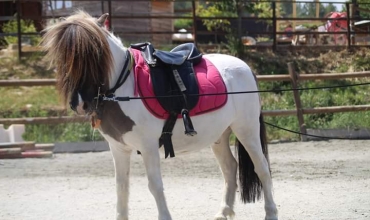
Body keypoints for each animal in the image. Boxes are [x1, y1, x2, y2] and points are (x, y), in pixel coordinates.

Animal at [41, 10, 278, 220]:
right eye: (62, 57)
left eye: (97, 53)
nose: (81, 103)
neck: (124, 88)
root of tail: (245, 67)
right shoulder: (118, 148)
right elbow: (121, 187)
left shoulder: (148, 146)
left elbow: (154, 185)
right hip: (219, 136)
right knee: (230, 169)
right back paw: (223, 213)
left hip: (247, 131)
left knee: (262, 169)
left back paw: (271, 213)